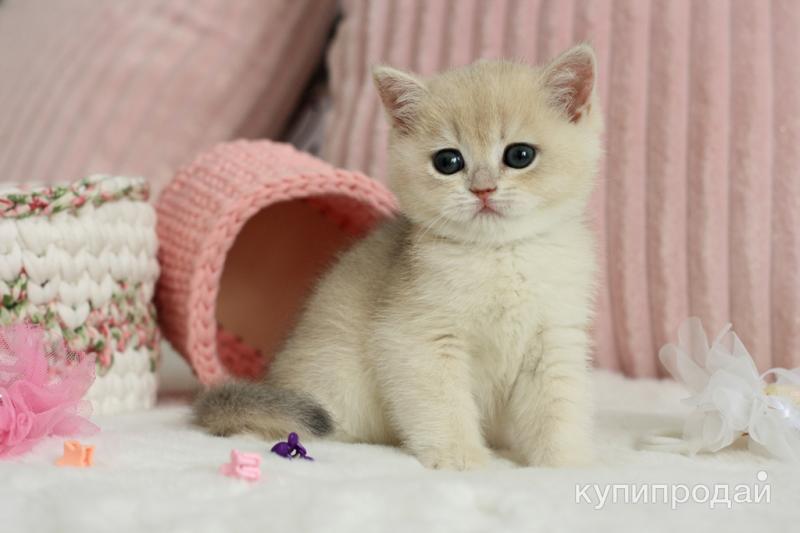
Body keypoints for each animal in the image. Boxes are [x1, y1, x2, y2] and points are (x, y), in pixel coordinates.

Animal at [194, 43, 603, 470]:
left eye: (520, 155)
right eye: (448, 161)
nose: (483, 189)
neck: (499, 255)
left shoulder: (553, 340)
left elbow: (558, 405)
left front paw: (564, 463)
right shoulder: (418, 340)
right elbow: (444, 405)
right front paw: (461, 457)